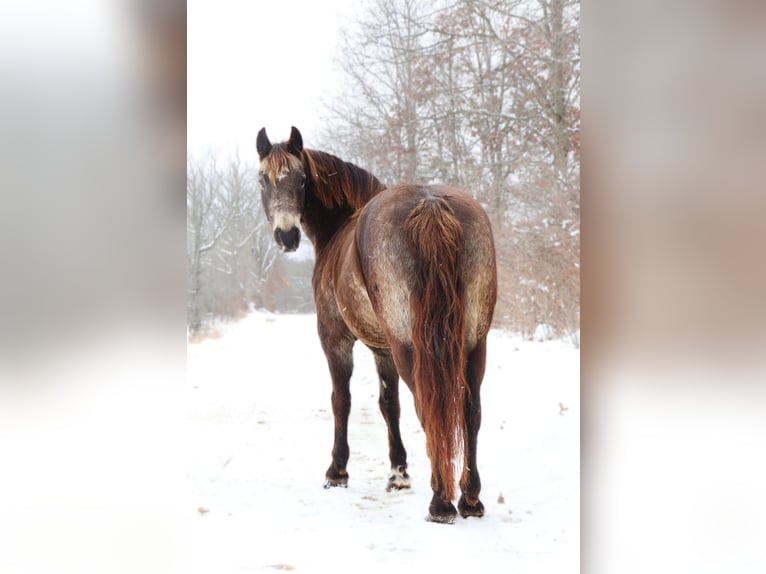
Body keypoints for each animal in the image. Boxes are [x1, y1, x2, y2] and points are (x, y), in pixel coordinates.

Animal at [256, 126, 497, 523]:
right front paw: (398, 472)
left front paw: (337, 471)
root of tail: (430, 203)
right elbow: (389, 404)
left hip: (411, 347)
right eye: (263, 179)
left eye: (302, 179)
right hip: (474, 343)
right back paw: (470, 499)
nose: (286, 236)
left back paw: (440, 501)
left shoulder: (335, 338)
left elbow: (342, 400)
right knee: (470, 411)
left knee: (429, 407)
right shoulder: (382, 350)